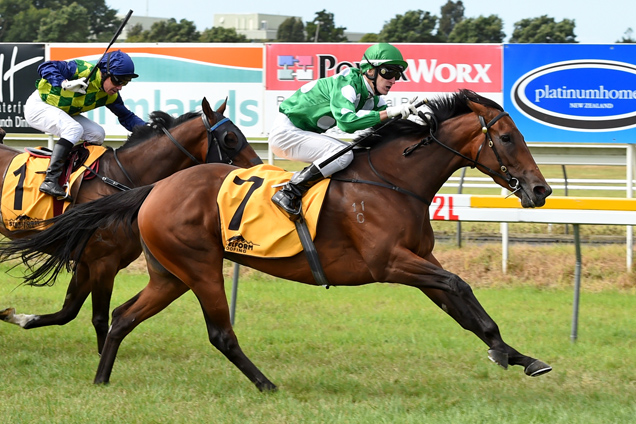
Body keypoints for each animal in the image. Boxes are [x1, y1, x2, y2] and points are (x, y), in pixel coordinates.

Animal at [0, 97, 262, 352]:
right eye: (230, 138)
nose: (257, 166)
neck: (118, 178)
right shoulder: (103, 261)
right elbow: (99, 318)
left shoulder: (87, 262)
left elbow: (68, 312)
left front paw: (15, 317)